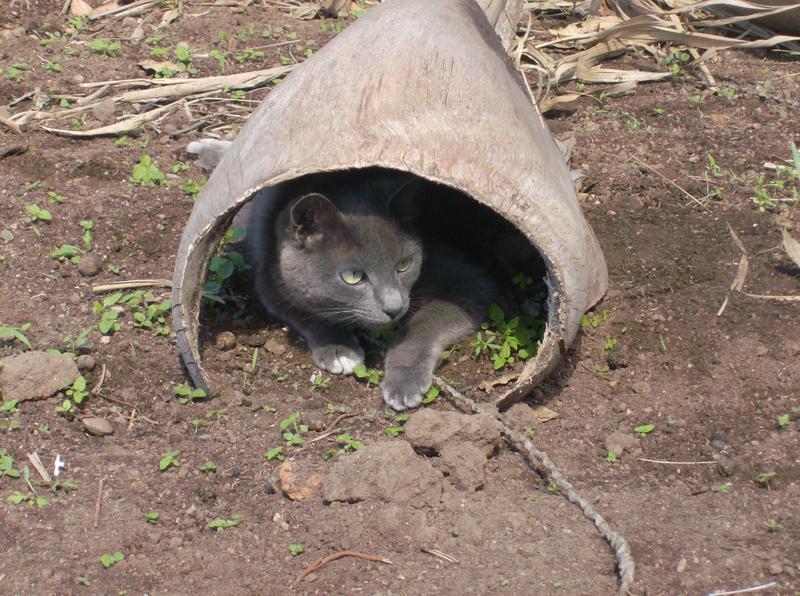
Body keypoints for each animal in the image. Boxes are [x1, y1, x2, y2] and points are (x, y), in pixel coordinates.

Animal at [248, 168, 494, 410]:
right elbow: (306, 310)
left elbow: (425, 321)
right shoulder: (270, 279)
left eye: (404, 265)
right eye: (353, 277)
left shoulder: (471, 281)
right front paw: (338, 349)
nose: (394, 308)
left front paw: (404, 382)